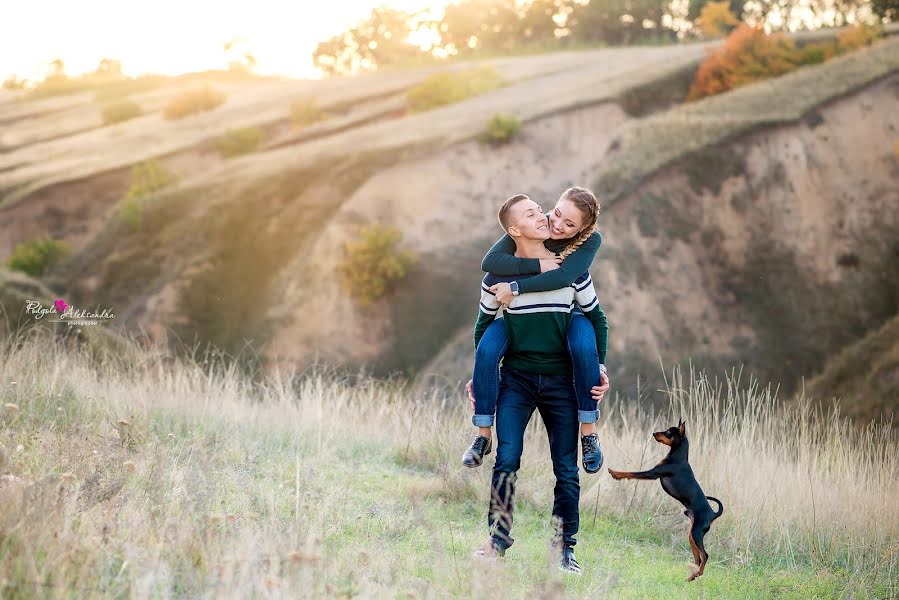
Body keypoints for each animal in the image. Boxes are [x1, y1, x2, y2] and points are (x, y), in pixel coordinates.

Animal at [604, 422, 724, 580]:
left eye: (667, 433)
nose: (654, 433)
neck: (678, 457)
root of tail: (713, 514)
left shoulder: (651, 474)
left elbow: (632, 473)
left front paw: (615, 473)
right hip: (692, 535)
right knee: (698, 558)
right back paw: (693, 575)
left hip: (696, 533)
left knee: (705, 555)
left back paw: (696, 574)